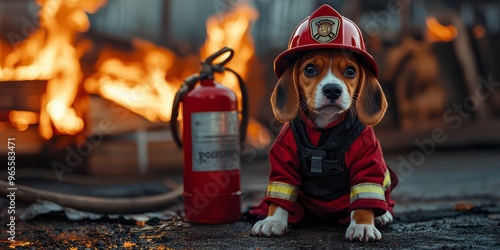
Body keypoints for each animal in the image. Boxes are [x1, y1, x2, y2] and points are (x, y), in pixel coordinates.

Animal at [250, 49, 398, 242]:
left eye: (350, 71)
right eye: (310, 69)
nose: (333, 90)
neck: (324, 127)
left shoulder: (368, 158)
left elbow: (364, 197)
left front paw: (363, 225)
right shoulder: (283, 156)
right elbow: (280, 194)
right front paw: (272, 221)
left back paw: (382, 215)